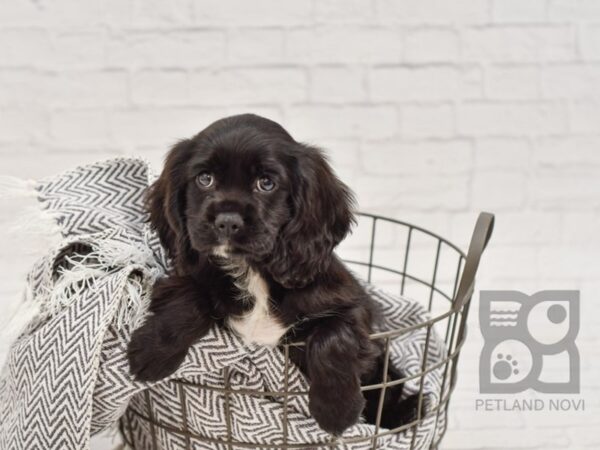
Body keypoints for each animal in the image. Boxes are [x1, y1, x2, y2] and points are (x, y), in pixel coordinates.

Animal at [129, 114, 414, 434]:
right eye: (205, 178)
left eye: (266, 183)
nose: (227, 222)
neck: (253, 270)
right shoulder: (184, 275)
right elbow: (190, 297)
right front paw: (152, 352)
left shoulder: (353, 306)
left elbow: (333, 336)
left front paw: (337, 409)